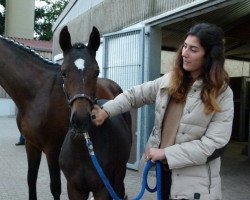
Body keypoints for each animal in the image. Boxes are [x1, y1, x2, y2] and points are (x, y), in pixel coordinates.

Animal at [0, 35, 123, 199]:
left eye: (96, 72)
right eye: (64, 73)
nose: (81, 119)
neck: (38, 93)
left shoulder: (52, 148)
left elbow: (55, 187)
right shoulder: (31, 144)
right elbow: (31, 179)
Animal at [58, 26, 133, 200]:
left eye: (96, 72)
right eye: (63, 72)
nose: (80, 120)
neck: (84, 150)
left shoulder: (102, 188)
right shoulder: (74, 189)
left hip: (119, 176)